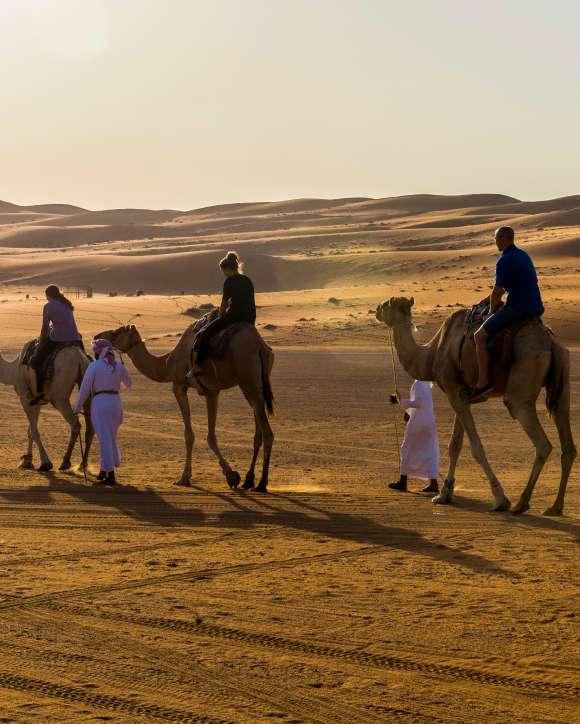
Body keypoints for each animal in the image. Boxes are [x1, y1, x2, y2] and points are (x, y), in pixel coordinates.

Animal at [0, 346, 94, 476]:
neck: (13, 369)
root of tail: (80, 360)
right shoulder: (36, 400)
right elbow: (30, 430)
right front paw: (27, 461)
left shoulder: (25, 397)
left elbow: (34, 431)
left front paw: (45, 463)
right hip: (87, 385)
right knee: (90, 428)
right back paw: (81, 465)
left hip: (59, 396)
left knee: (76, 424)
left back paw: (65, 463)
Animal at [95, 324, 276, 490]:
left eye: (116, 332)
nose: (97, 336)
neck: (167, 364)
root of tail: (260, 346)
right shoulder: (211, 392)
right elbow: (211, 436)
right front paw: (232, 476)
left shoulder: (178, 386)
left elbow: (189, 435)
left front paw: (184, 478)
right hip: (255, 384)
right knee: (258, 432)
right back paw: (249, 480)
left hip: (248, 378)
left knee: (267, 433)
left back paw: (262, 483)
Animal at [376, 296, 576, 516]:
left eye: (386, 305)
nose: (376, 309)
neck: (433, 353)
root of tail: (549, 341)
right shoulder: (461, 396)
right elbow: (454, 445)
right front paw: (444, 494)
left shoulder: (455, 392)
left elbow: (476, 448)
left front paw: (500, 499)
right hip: (562, 381)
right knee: (568, 443)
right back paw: (555, 506)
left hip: (522, 386)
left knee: (542, 444)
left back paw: (521, 503)